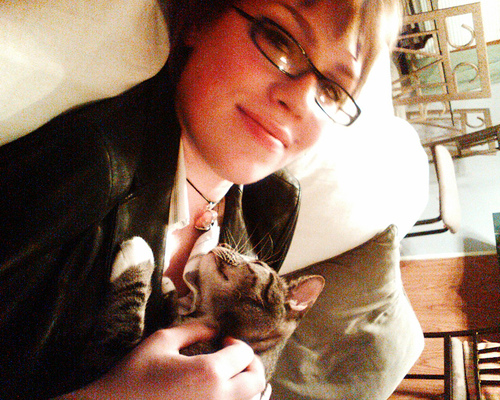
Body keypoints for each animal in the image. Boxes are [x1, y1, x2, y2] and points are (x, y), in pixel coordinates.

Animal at [83, 237, 325, 381]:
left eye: (259, 263)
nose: (225, 244)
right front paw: (169, 288)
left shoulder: (107, 357)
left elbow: (126, 323)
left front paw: (138, 256)